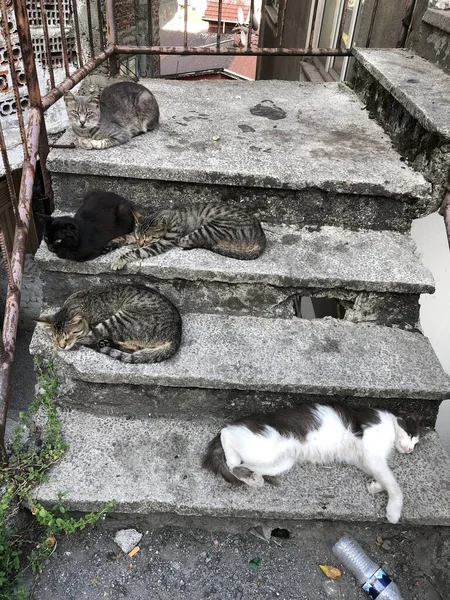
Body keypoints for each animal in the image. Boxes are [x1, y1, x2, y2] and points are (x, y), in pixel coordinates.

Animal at [37, 284, 181, 364]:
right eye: (54, 337)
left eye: (69, 335)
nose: (61, 346)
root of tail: (176, 336)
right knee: (134, 348)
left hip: (119, 320)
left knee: (92, 339)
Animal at [109, 204, 266, 272]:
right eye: (139, 236)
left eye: (150, 238)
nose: (141, 243)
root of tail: (261, 237)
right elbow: (127, 236)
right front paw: (115, 241)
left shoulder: (163, 242)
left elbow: (135, 252)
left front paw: (119, 260)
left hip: (210, 227)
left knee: (188, 240)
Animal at [202, 404, 420, 524]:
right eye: (411, 435)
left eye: (416, 444)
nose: (410, 449)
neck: (390, 426)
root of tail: (242, 421)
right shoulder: (372, 453)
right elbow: (394, 484)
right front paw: (393, 512)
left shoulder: (364, 458)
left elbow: (383, 477)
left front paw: (374, 485)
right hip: (265, 444)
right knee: (227, 435)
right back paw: (235, 458)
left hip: (281, 461)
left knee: (240, 466)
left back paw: (251, 478)